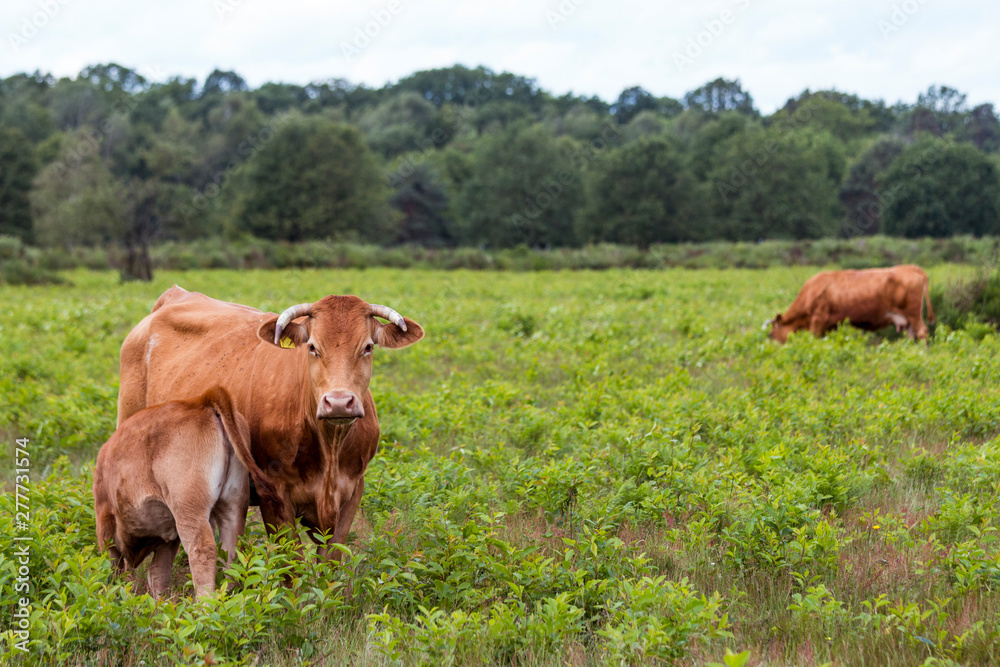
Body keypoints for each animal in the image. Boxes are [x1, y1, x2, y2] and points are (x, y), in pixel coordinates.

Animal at [116, 288, 422, 560]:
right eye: (312, 347)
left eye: (368, 347)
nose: (338, 402)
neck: (329, 450)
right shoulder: (273, 494)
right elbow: (292, 565)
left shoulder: (352, 490)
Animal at [764, 264, 936, 342]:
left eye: (771, 334)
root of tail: (910, 267)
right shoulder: (830, 325)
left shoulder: (818, 320)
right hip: (906, 320)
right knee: (912, 334)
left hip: (913, 314)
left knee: (922, 332)